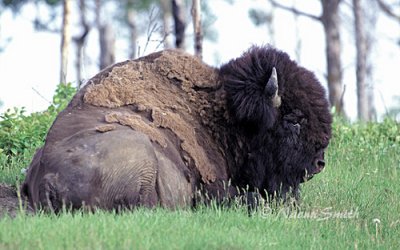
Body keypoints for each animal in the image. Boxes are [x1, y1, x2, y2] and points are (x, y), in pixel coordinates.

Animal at [19, 46, 332, 212]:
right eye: (294, 119)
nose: (319, 163)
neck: (221, 113)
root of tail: (47, 179)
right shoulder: (215, 187)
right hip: (142, 152)